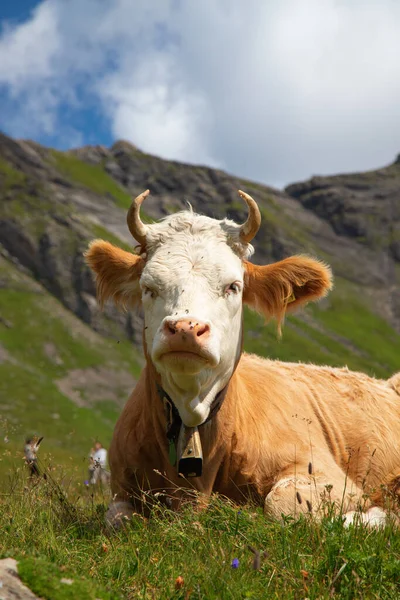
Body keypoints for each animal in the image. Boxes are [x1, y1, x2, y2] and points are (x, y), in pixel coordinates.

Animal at [84, 190, 400, 528]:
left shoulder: (327, 475)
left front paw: (374, 517)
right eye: (148, 287)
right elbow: (118, 520)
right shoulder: (122, 487)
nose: (185, 328)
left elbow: (283, 504)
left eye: (233, 286)